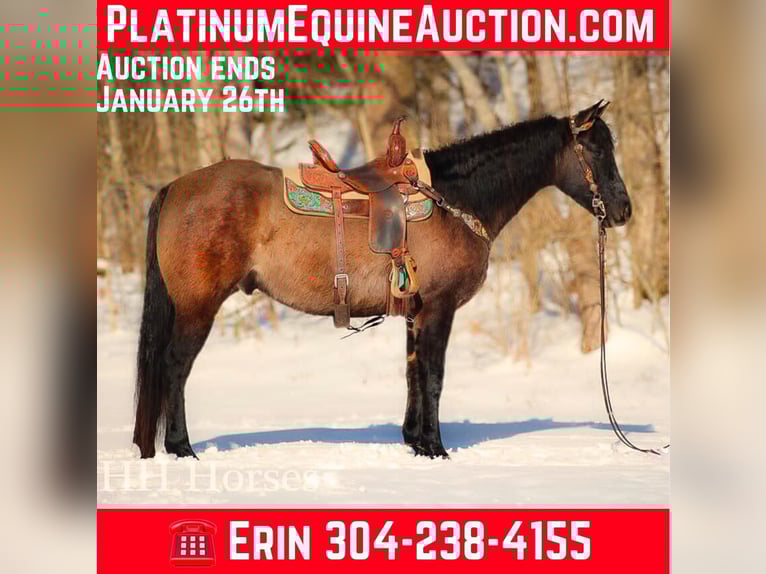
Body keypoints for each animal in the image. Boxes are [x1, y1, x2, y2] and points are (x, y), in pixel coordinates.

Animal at [133, 100, 631, 459]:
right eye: (598, 151)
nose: (624, 210)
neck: (456, 199)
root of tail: (176, 187)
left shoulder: (416, 311)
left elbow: (413, 373)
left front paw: (415, 441)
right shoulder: (439, 308)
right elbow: (434, 375)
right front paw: (436, 448)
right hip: (198, 307)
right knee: (176, 366)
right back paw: (180, 446)